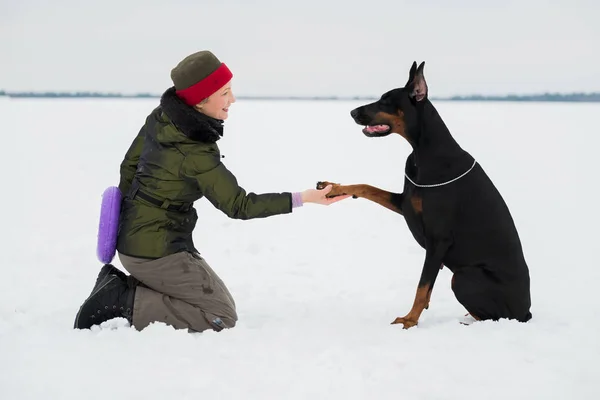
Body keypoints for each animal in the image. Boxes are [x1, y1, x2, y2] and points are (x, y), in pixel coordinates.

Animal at [316, 61, 532, 326]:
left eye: (386, 101)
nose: (352, 112)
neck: (423, 152)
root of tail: (526, 311)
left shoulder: (438, 239)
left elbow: (422, 286)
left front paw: (409, 320)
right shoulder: (405, 202)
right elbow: (367, 187)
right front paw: (334, 188)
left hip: (465, 276)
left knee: (492, 317)